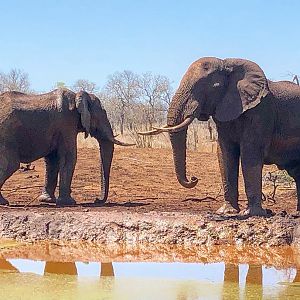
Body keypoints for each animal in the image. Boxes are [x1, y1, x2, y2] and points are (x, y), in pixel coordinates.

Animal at [0, 88, 134, 206]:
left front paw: (47, 200)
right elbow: (69, 157)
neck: (78, 95)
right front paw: (69, 203)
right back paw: (4, 202)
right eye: (102, 114)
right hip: (6, 135)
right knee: (11, 164)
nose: (96, 200)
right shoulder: (66, 124)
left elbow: (53, 161)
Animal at [141, 56, 300, 216]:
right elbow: (225, 154)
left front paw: (251, 213)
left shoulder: (260, 113)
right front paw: (226, 212)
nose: (194, 178)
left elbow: (250, 154)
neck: (226, 63)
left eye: (213, 86)